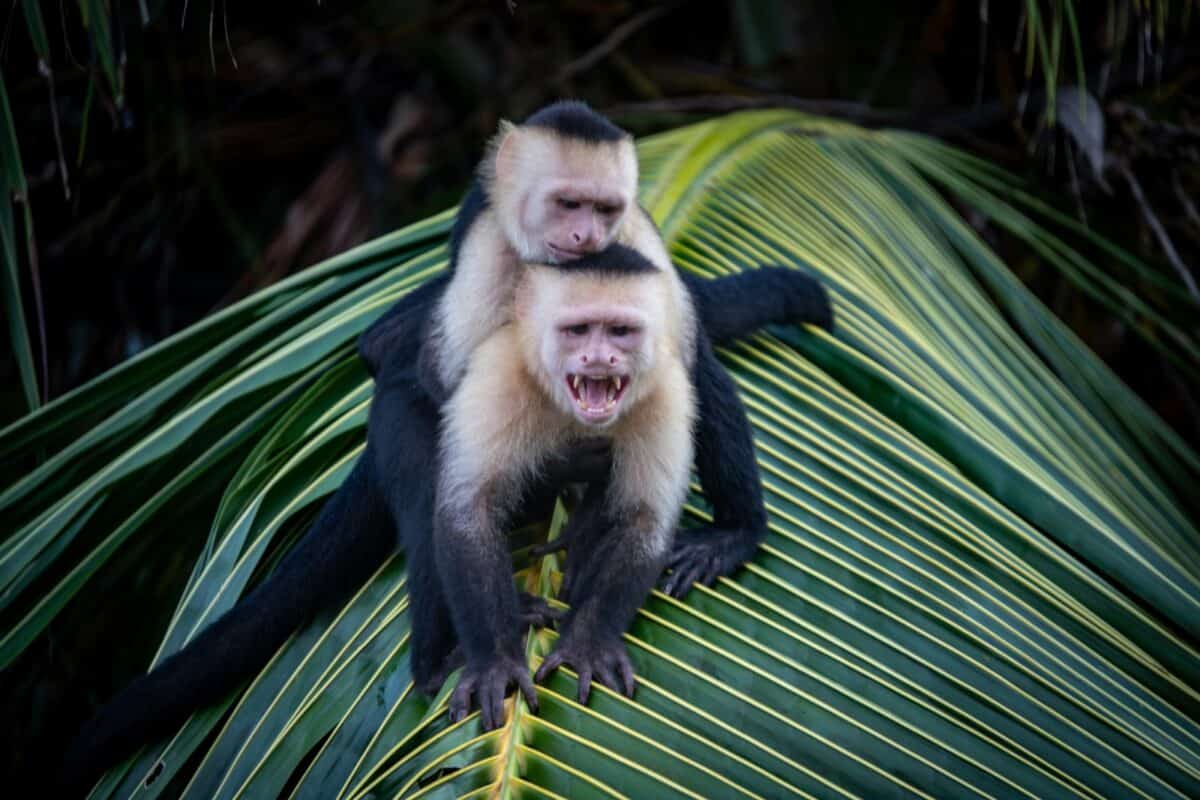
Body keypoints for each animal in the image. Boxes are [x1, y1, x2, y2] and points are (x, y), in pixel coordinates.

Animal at [435, 242, 698, 729]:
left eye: (620, 332)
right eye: (577, 331)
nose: (599, 359)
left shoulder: (667, 393)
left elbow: (644, 522)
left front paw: (586, 643)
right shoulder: (501, 373)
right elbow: (470, 511)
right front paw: (496, 663)